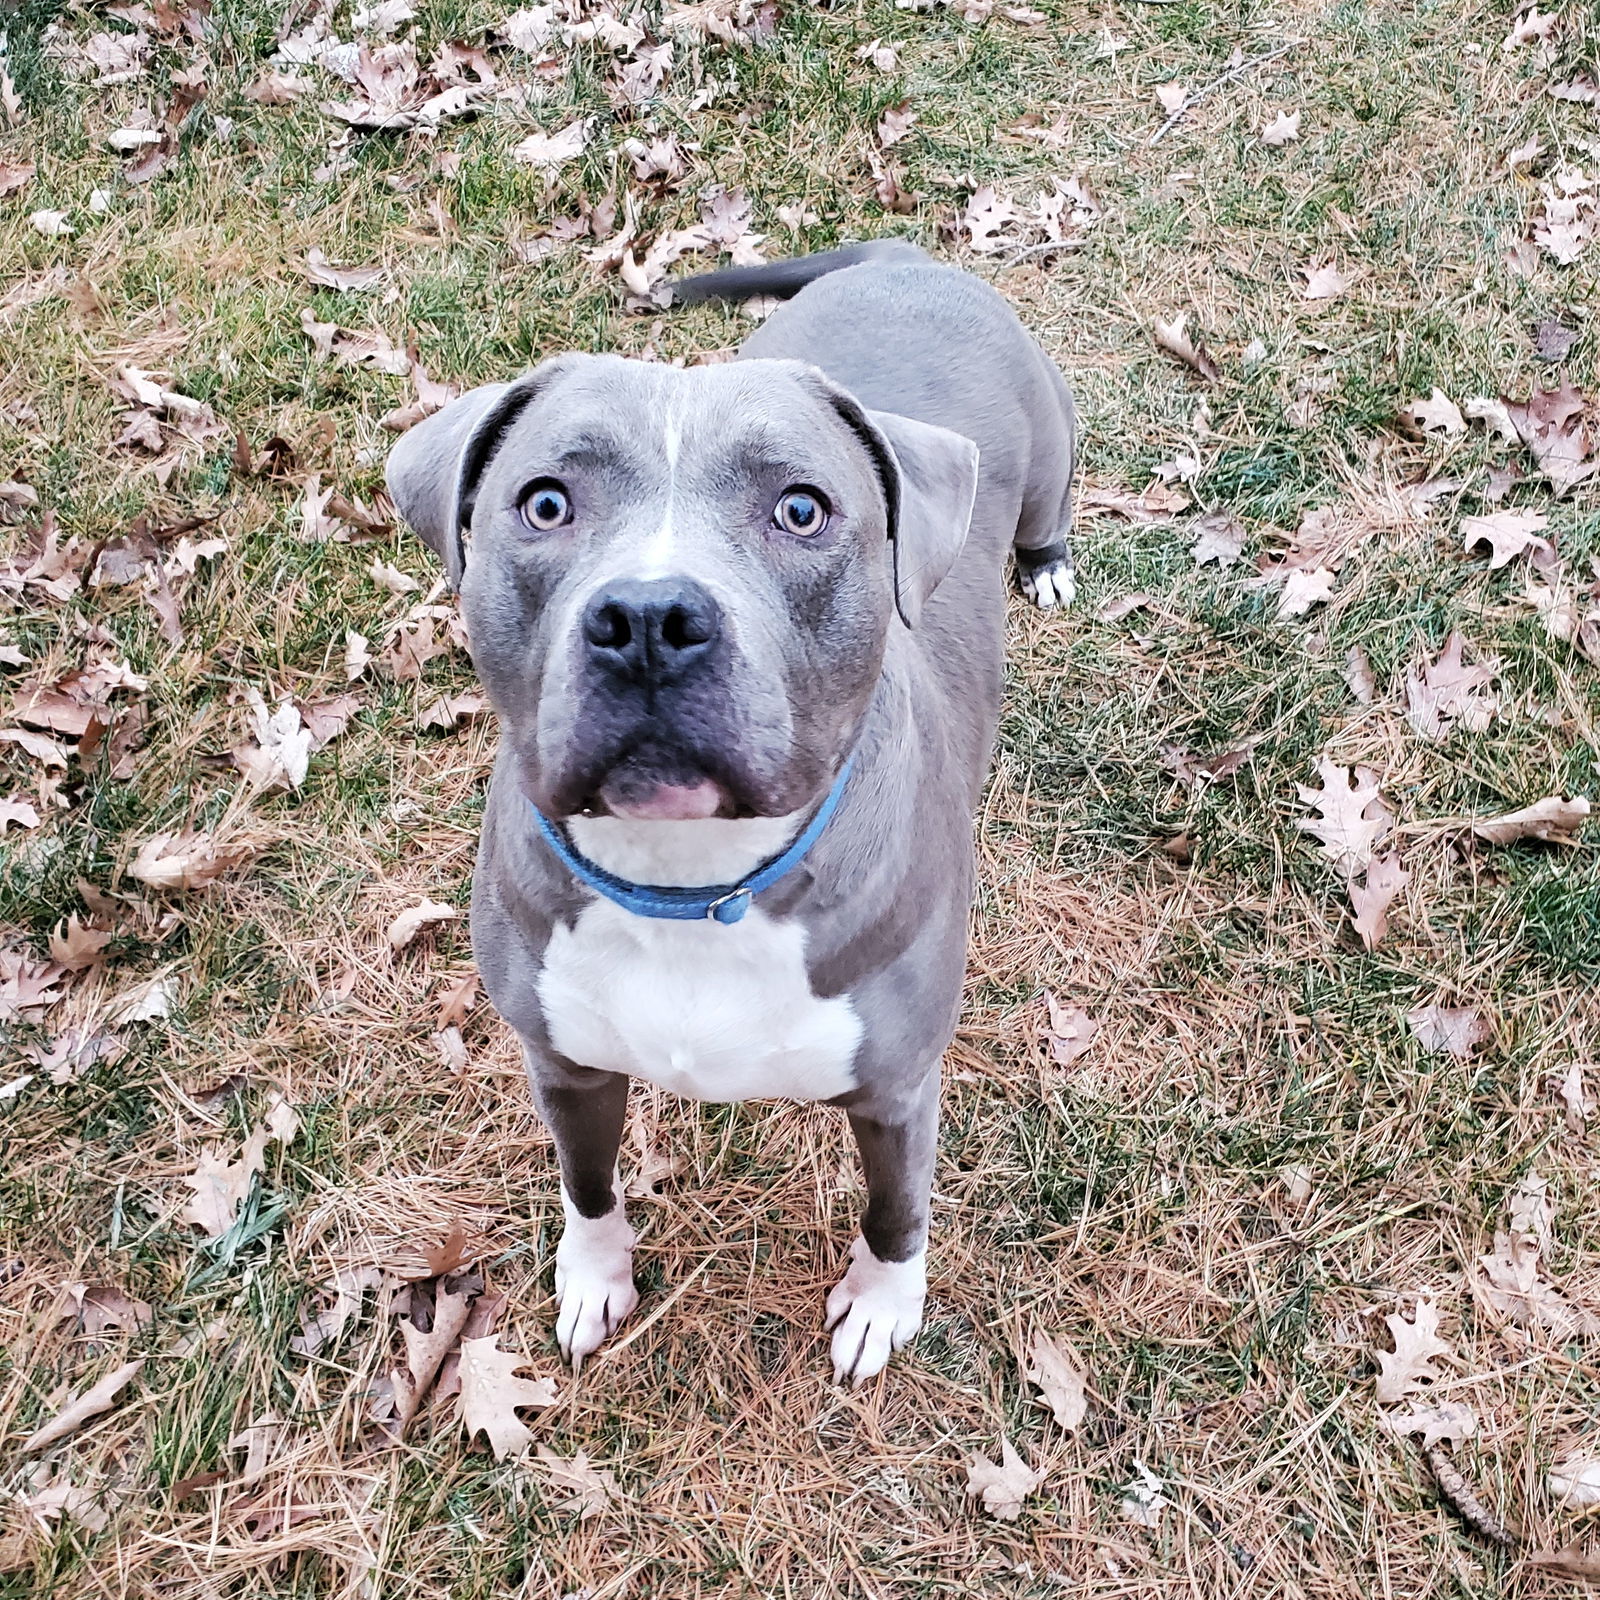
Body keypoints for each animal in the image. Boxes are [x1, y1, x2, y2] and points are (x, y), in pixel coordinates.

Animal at [387, 240, 1081, 1388]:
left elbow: (897, 1210)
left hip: (1047, 455)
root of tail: (903, 253)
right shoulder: (563, 1064)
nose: (648, 619)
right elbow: (587, 1182)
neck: (691, 878)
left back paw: (1051, 564)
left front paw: (881, 1306)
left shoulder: (897, 1088)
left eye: (801, 510)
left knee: (1045, 516)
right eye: (544, 504)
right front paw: (594, 1276)